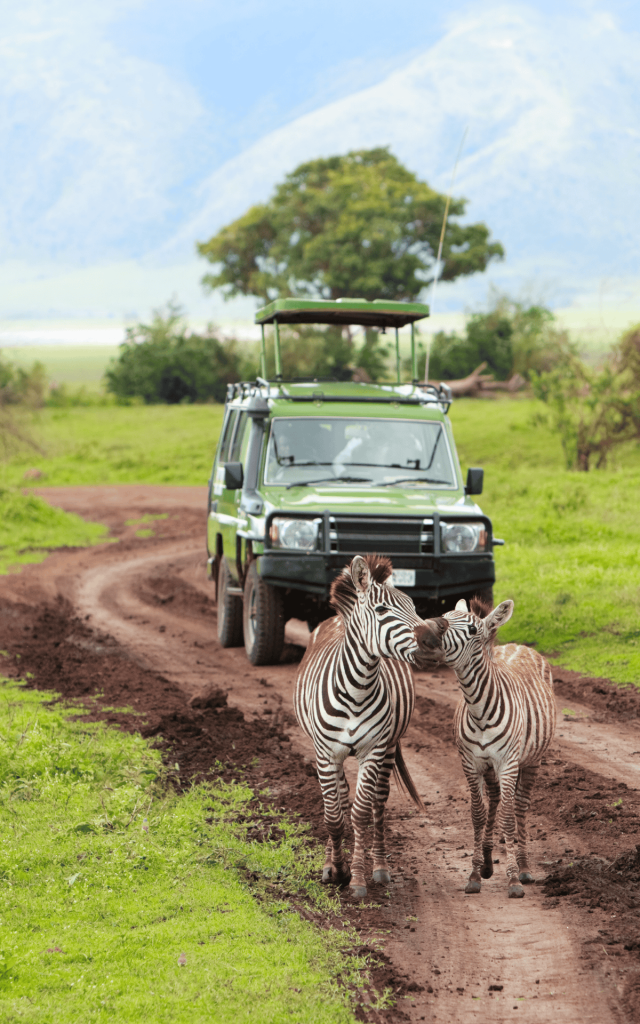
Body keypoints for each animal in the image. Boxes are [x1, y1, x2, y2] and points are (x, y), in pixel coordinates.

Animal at [294, 553, 434, 899]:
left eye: (413, 606)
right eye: (382, 610)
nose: (431, 640)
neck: (357, 689)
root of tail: (334, 619)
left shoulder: (373, 750)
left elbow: (360, 813)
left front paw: (356, 878)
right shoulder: (325, 754)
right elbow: (334, 816)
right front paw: (335, 869)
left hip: (389, 748)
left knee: (378, 803)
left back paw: (380, 867)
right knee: (341, 799)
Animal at [421, 597, 556, 898]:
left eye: (472, 630)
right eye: (445, 614)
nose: (424, 631)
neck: (479, 708)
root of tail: (519, 645)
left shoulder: (507, 763)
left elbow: (508, 817)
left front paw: (513, 880)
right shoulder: (471, 763)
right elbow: (478, 814)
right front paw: (474, 874)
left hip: (532, 760)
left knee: (520, 806)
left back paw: (524, 867)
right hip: (492, 767)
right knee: (494, 799)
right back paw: (487, 862)